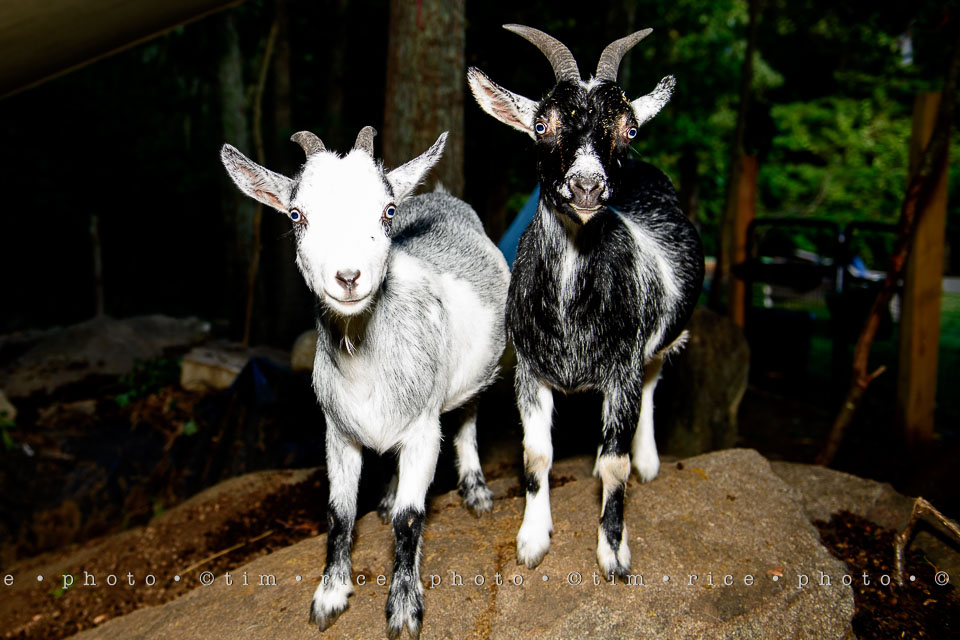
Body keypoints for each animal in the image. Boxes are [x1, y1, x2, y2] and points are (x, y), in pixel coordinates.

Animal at [220, 127, 509, 638]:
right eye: (296, 215)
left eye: (387, 211)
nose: (349, 276)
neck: (363, 357)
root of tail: (440, 197)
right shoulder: (339, 433)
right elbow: (338, 513)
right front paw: (330, 596)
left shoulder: (423, 428)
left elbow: (411, 520)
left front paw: (404, 607)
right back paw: (390, 495)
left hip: (477, 373)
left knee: (468, 416)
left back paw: (475, 489)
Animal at [468, 25, 704, 578]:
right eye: (541, 124)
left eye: (630, 129)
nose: (587, 187)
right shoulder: (529, 372)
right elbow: (536, 455)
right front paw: (532, 539)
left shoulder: (623, 367)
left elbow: (616, 464)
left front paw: (613, 551)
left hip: (658, 345)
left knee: (652, 385)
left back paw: (648, 460)